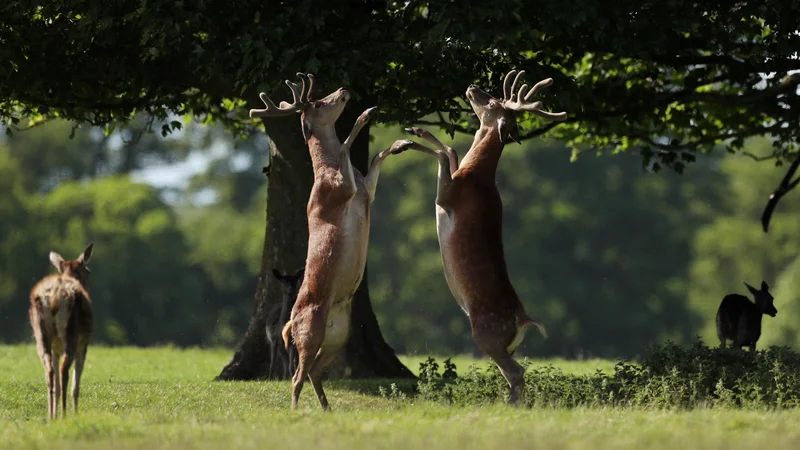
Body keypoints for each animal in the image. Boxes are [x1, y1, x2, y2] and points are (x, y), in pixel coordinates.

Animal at [27, 244, 93, 420]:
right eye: (88, 270)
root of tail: (53, 298)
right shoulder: (84, 344)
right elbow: (75, 386)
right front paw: (75, 413)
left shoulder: (56, 349)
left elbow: (56, 383)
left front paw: (54, 413)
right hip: (71, 333)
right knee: (64, 371)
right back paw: (64, 414)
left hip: (41, 334)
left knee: (49, 371)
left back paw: (51, 416)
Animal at [248, 72, 412, 410]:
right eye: (321, 103)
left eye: (323, 94)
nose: (344, 88)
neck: (327, 173)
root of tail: (290, 323)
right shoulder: (343, 190)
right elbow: (348, 146)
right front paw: (367, 113)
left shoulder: (365, 191)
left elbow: (374, 158)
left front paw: (404, 143)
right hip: (310, 330)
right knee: (297, 375)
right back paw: (297, 410)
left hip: (339, 334)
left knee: (314, 372)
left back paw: (327, 409)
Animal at [400, 69, 568, 404]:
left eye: (493, 102)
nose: (473, 85)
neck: (476, 174)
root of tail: (523, 320)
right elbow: (451, 151)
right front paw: (415, 130)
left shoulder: (447, 197)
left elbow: (443, 156)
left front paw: (411, 139)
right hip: (501, 343)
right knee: (514, 371)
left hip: (486, 334)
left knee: (517, 371)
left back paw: (511, 407)